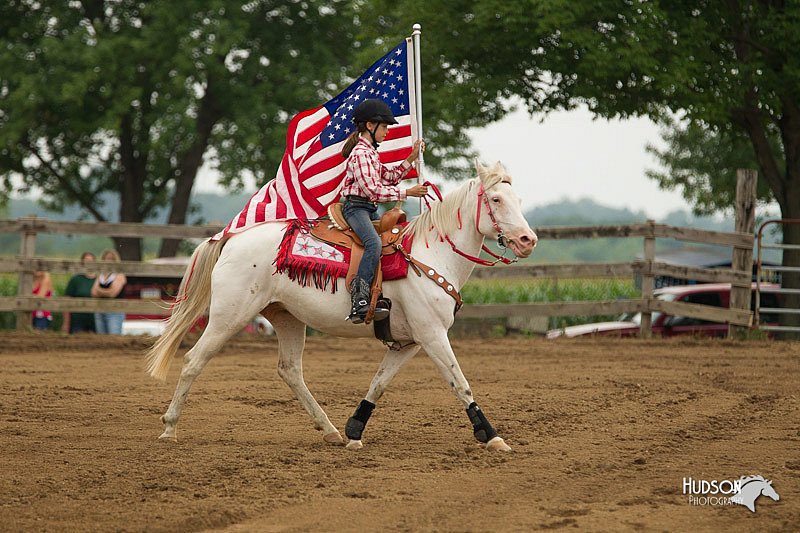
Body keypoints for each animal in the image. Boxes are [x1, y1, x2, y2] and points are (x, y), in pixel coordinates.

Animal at [145, 161, 536, 448]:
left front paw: (354, 430)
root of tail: (231, 238)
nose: (527, 239)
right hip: (228, 316)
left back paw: (330, 429)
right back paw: (169, 428)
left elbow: (378, 383)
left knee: (290, 370)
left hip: (287, 318)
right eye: (496, 200)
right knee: (194, 361)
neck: (430, 254)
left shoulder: (409, 342)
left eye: (518, 200)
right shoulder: (433, 335)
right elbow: (460, 383)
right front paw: (491, 435)